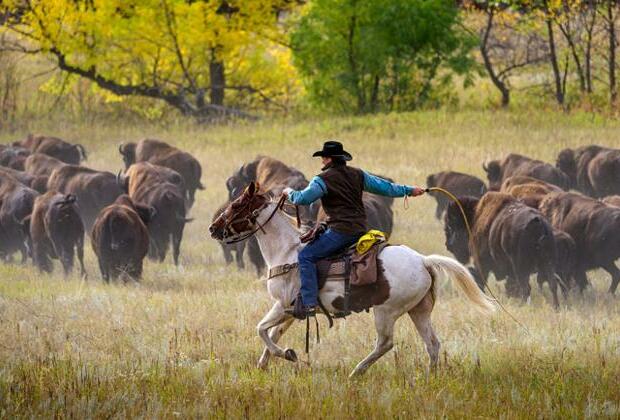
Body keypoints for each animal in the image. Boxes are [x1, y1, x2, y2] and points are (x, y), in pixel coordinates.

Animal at [211, 182, 496, 378]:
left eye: (236, 205)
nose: (213, 228)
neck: (287, 252)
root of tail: (423, 261)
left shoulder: (282, 305)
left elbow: (261, 329)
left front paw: (288, 355)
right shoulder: (291, 310)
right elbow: (273, 333)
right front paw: (265, 364)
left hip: (386, 311)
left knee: (385, 343)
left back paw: (357, 371)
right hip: (419, 310)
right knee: (433, 344)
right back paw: (429, 377)